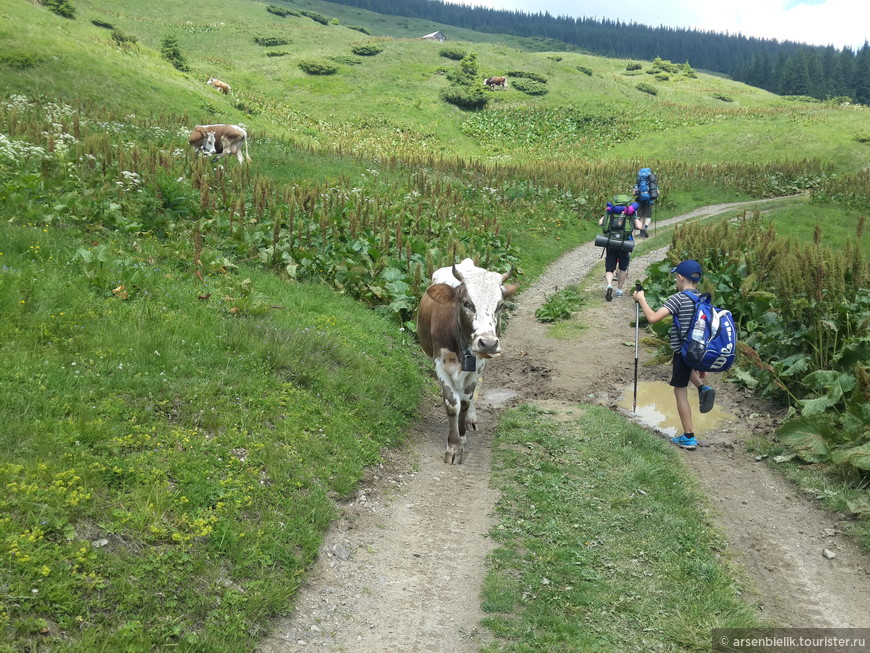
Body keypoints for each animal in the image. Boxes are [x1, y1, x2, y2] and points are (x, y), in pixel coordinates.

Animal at [416, 258, 516, 464]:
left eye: (500, 306)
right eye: (466, 303)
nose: (488, 343)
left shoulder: (478, 366)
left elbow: (465, 401)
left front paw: (462, 439)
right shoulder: (439, 363)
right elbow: (452, 403)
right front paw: (453, 447)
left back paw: (471, 419)